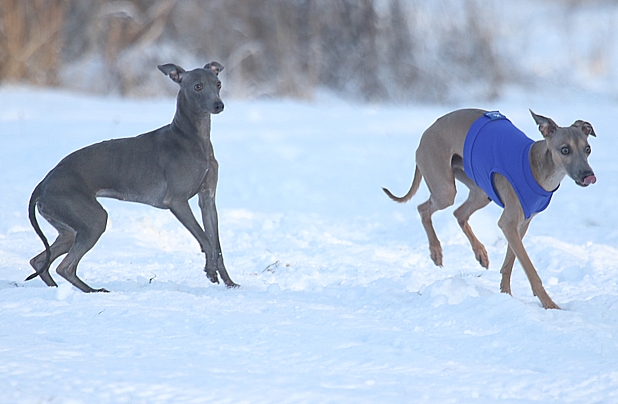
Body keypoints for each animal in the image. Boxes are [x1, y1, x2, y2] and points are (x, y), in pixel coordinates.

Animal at [382, 109, 596, 308]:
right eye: (565, 150)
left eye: (587, 149)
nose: (588, 175)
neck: (537, 167)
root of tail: (427, 131)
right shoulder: (508, 223)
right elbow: (529, 268)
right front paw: (549, 304)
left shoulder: (521, 224)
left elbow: (509, 263)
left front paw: (506, 294)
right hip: (445, 190)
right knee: (423, 209)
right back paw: (436, 251)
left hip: (480, 191)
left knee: (459, 213)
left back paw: (480, 253)